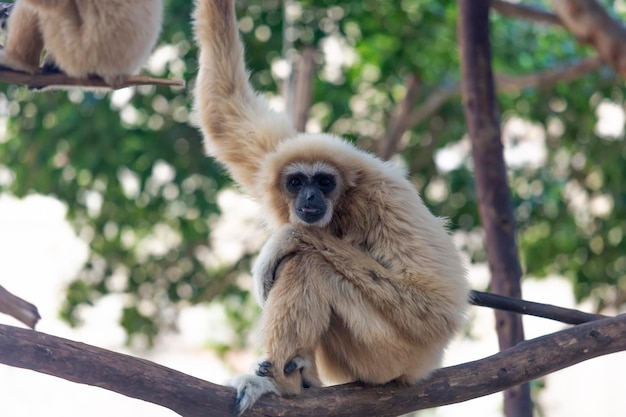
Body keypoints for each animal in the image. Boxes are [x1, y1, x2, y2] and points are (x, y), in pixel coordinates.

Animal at [193, 0, 466, 412]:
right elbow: (226, 111)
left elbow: (437, 306)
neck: (344, 207)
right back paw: (302, 375)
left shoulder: (389, 199)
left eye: (323, 181)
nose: (309, 197)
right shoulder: (272, 160)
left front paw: (286, 238)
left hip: (390, 353)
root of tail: (423, 367)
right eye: (296, 182)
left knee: (310, 265)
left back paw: (278, 384)